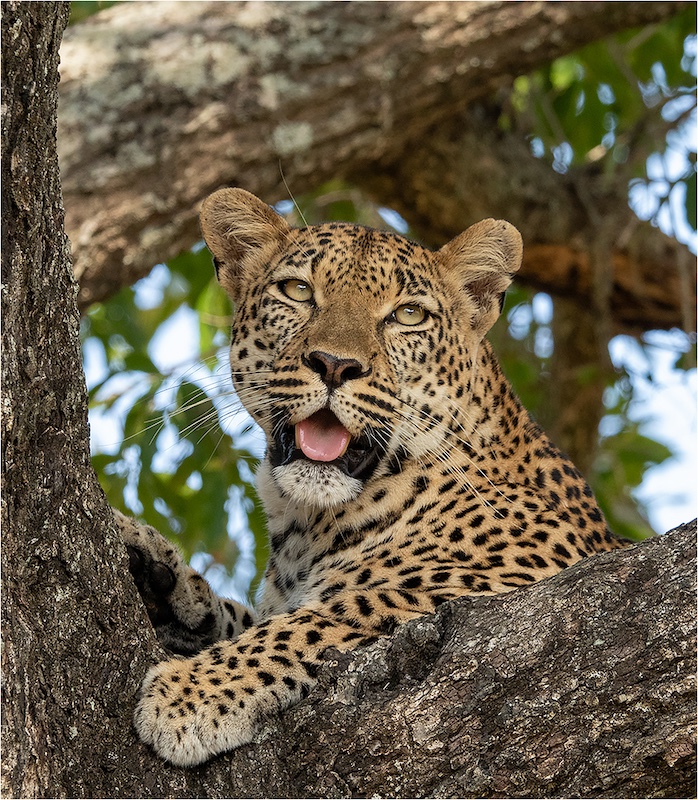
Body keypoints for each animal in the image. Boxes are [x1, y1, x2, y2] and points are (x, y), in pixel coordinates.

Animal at [119, 187, 626, 766]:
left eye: (408, 315)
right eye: (297, 291)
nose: (334, 365)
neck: (306, 520)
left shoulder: (514, 576)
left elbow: (335, 613)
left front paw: (192, 692)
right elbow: (242, 614)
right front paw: (157, 572)